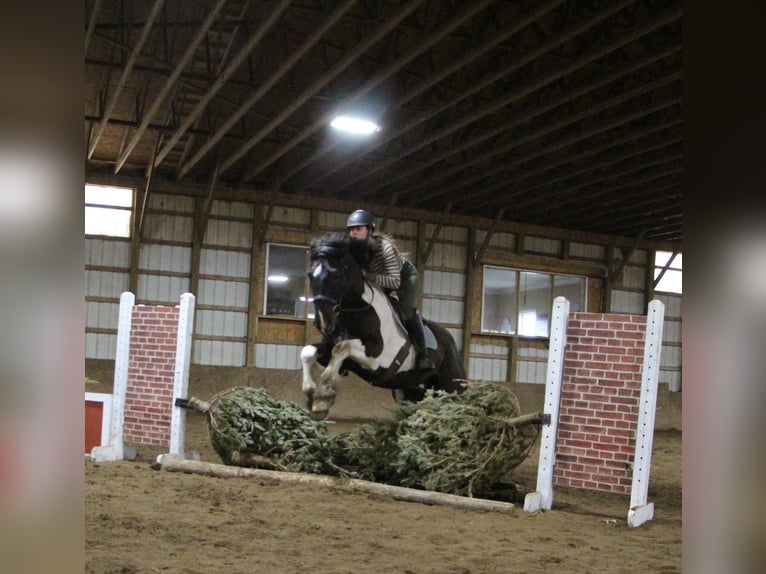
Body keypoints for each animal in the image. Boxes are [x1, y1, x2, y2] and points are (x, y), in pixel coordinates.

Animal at [300, 232, 468, 420]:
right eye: (310, 275)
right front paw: (311, 393)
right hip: (411, 391)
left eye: (335, 275)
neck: (356, 309)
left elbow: (342, 347)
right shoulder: (328, 352)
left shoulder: (376, 359)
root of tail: (449, 339)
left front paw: (323, 397)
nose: (323, 321)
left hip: (453, 385)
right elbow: (308, 351)